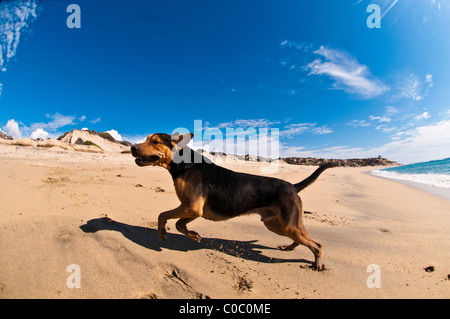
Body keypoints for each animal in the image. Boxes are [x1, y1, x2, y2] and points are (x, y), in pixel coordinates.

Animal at [130, 132, 334, 270]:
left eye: (155, 141)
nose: (132, 148)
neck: (183, 164)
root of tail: (293, 186)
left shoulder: (192, 207)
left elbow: (162, 215)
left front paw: (162, 232)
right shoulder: (193, 210)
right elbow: (179, 224)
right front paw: (192, 235)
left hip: (288, 225)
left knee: (317, 245)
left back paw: (317, 264)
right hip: (278, 224)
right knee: (302, 239)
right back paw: (288, 247)